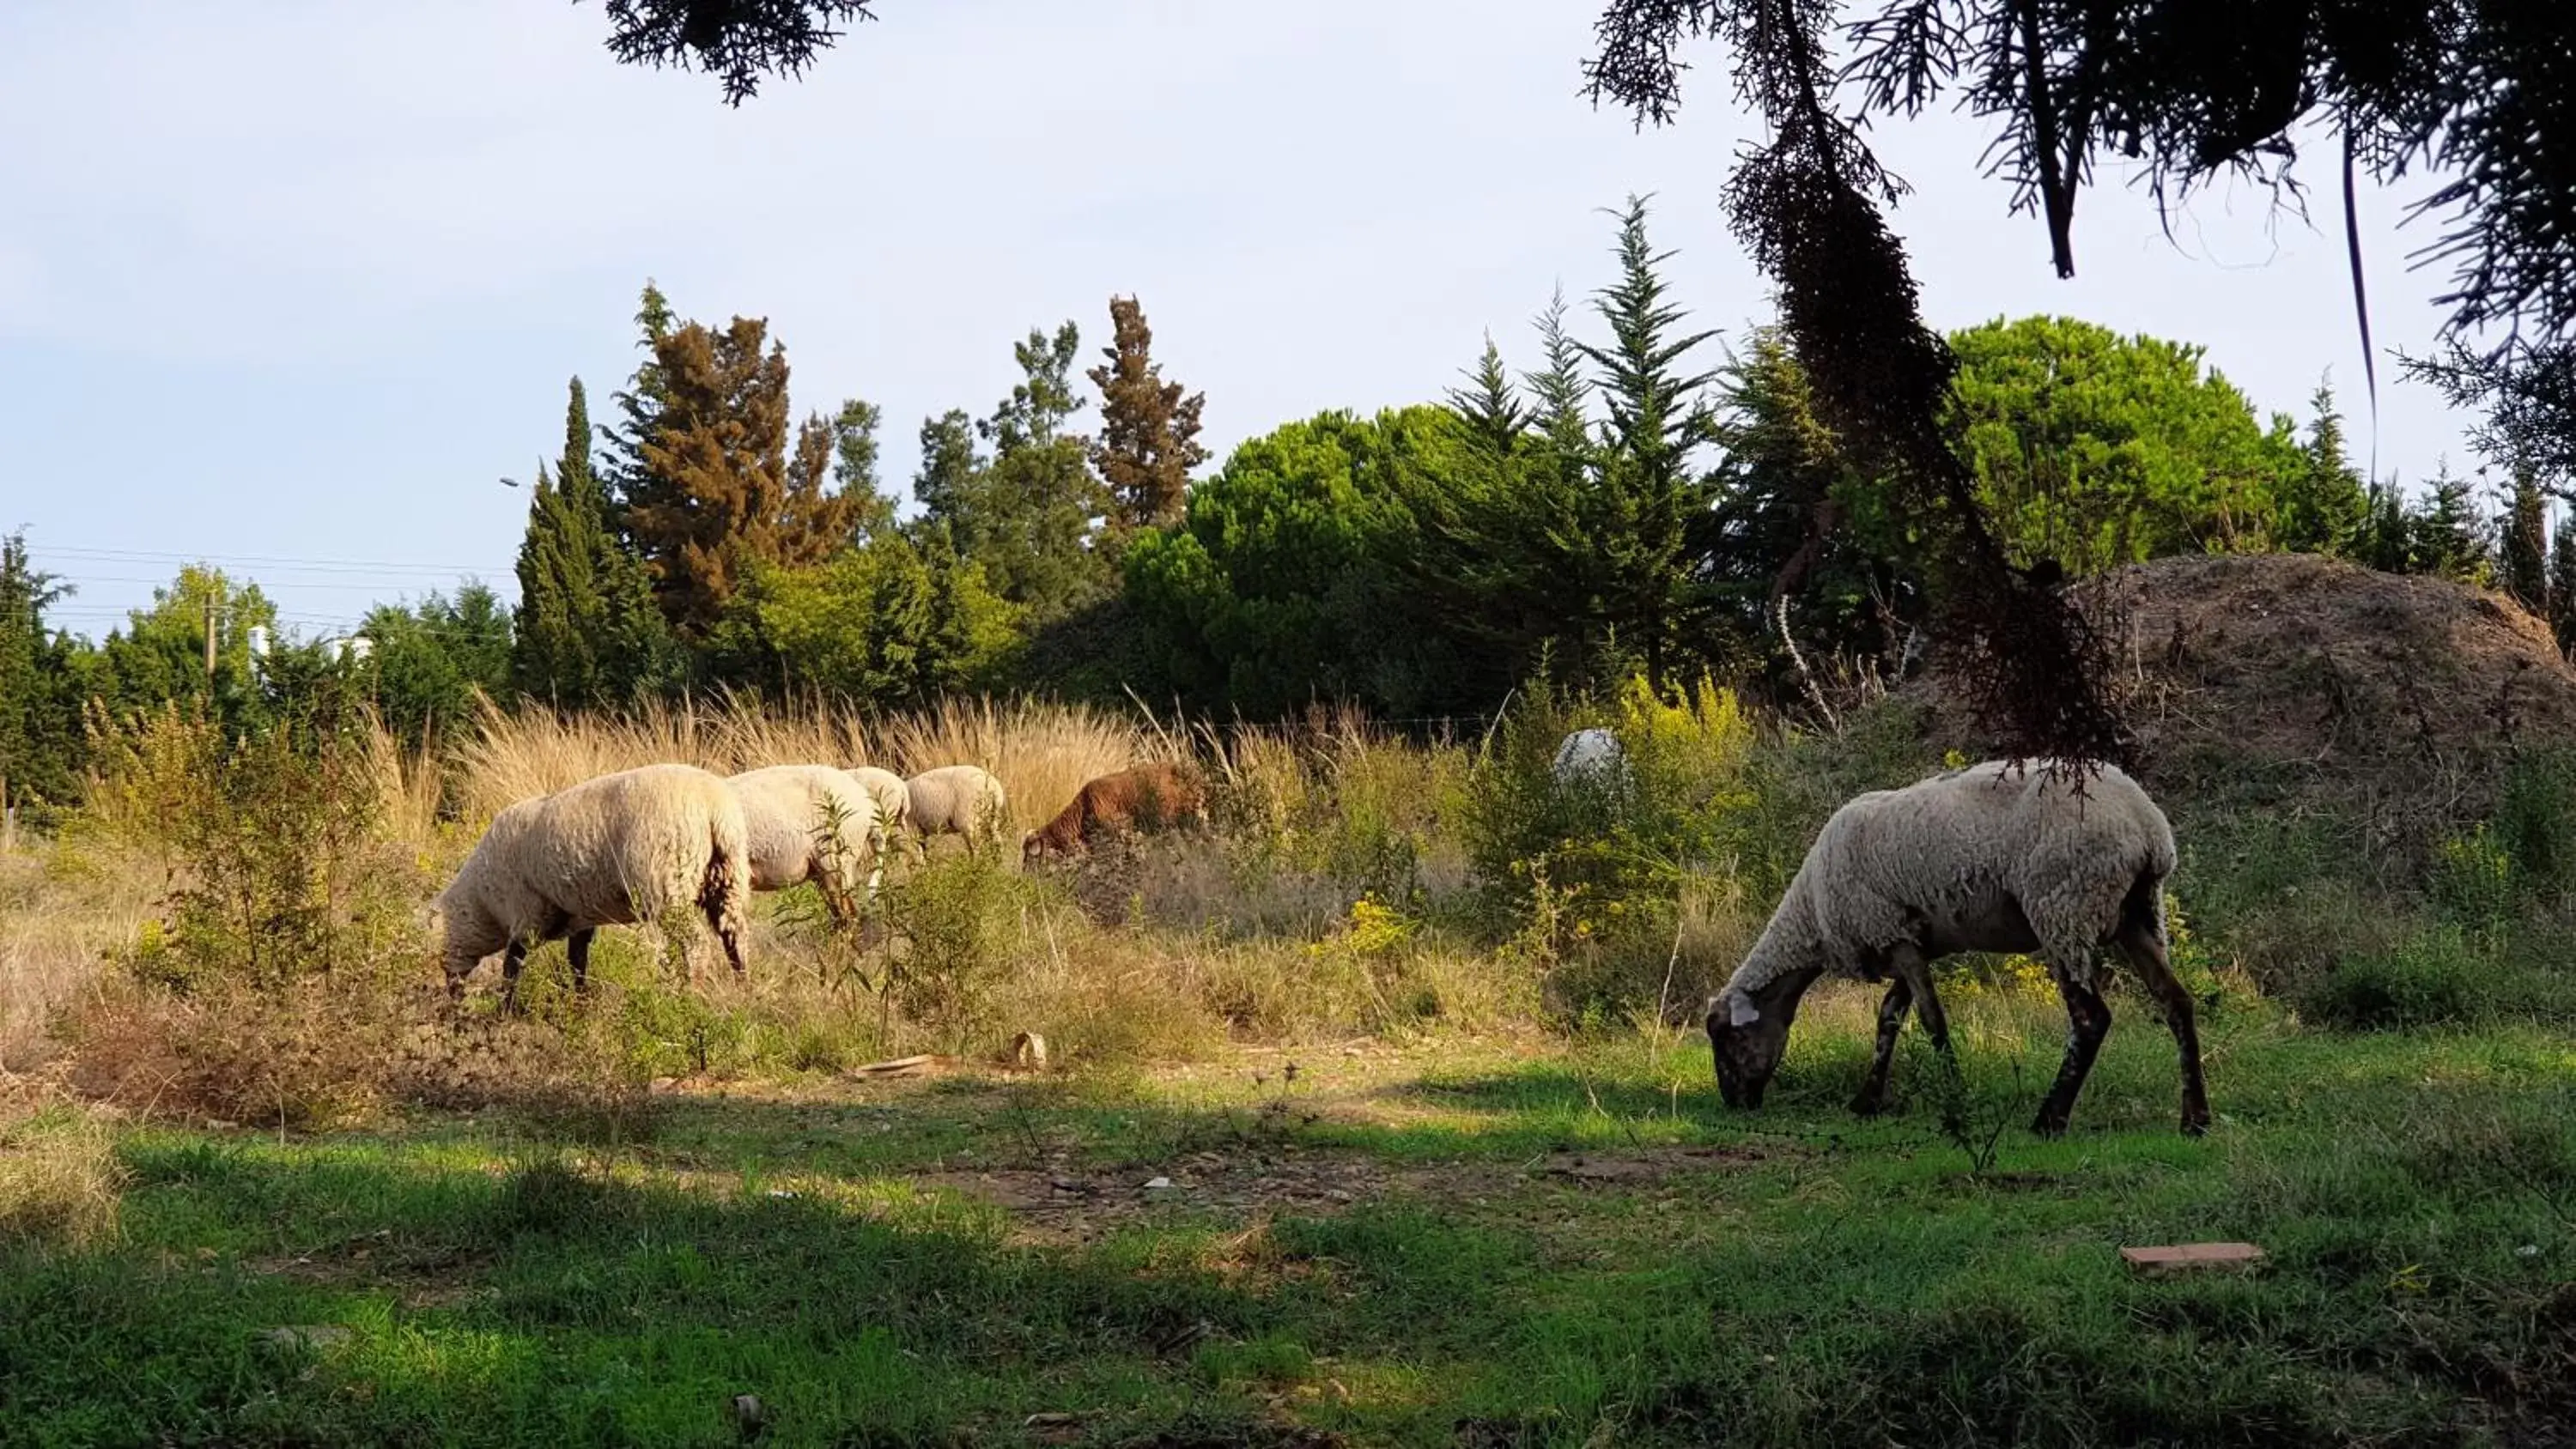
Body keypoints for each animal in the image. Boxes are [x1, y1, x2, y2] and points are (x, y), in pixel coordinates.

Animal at [435, 767, 752, 1014]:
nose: (452, 996)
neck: (484, 901)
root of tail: (714, 808)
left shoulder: (526, 913)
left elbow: (513, 965)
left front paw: (504, 1009)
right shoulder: (577, 916)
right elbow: (577, 961)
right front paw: (580, 1002)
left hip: (668, 879)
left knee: (695, 944)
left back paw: (691, 993)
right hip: (727, 876)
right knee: (734, 935)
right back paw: (742, 985)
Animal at [1700, 761, 2205, 1148]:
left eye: (1726, 1038)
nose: (1735, 1104)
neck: (1810, 917)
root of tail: (2145, 828)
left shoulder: (1891, 933)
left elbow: (1932, 1022)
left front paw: (1955, 1099)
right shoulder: (1908, 940)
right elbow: (1889, 1017)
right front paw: (1867, 1101)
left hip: (2064, 905)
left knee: (2090, 1019)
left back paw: (2049, 1120)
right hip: (2137, 913)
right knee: (2176, 1002)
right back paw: (2195, 1119)